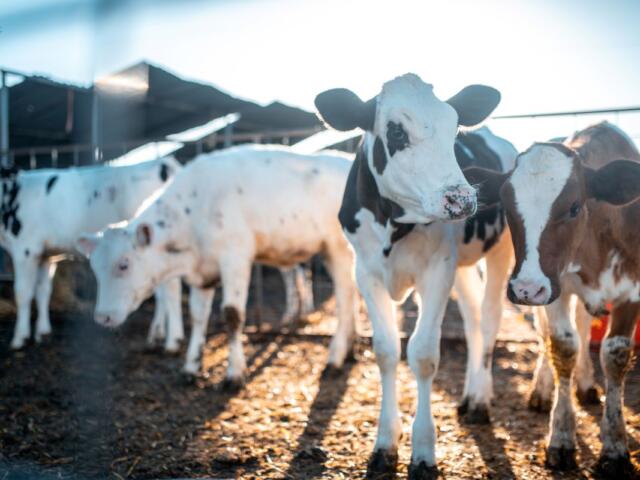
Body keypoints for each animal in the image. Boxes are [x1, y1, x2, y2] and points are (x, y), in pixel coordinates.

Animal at [0, 158, 185, 351]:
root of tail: (165, 163)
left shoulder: (25, 249)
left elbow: (22, 293)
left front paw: (19, 337)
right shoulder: (46, 255)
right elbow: (43, 291)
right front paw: (42, 332)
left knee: (171, 289)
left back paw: (170, 340)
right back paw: (157, 333)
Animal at [76, 145, 359, 387]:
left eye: (124, 264)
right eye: (95, 267)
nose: (102, 317)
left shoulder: (235, 258)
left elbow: (232, 315)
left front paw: (234, 374)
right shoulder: (203, 272)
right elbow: (198, 316)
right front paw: (190, 368)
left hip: (338, 248)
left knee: (345, 299)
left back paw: (335, 358)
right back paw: (350, 350)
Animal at [315, 73, 508, 478]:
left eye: (455, 128)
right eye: (396, 132)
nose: (461, 199)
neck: (393, 221)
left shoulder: (437, 270)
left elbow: (422, 354)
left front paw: (423, 451)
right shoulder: (365, 271)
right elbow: (387, 350)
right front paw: (385, 443)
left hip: (504, 249)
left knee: (490, 317)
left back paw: (480, 400)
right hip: (463, 265)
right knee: (473, 318)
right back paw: (469, 395)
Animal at [467, 121, 640, 476]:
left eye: (574, 207)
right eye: (507, 206)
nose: (526, 289)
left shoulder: (632, 289)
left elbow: (614, 355)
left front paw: (615, 448)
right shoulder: (555, 288)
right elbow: (563, 346)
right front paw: (560, 438)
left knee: (585, 325)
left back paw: (586, 385)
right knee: (553, 333)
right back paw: (543, 390)